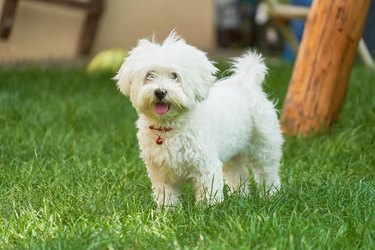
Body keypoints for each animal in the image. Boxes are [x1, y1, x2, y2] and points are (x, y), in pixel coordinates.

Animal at [116, 31, 284, 207]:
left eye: (174, 76)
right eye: (149, 75)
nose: (160, 92)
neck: (170, 127)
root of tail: (245, 82)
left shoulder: (206, 165)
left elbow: (209, 191)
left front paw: (210, 209)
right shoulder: (160, 171)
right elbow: (166, 194)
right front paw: (167, 210)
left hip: (264, 145)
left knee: (267, 172)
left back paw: (270, 195)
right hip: (233, 152)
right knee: (238, 173)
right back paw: (239, 196)